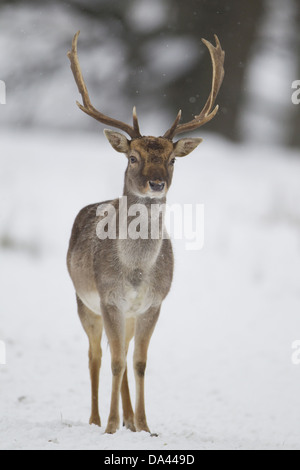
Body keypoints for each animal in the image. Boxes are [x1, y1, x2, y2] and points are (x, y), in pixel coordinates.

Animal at [66, 31, 225, 434]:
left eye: (172, 159)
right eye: (132, 157)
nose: (156, 183)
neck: (136, 272)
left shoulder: (154, 303)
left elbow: (137, 364)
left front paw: (145, 425)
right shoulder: (109, 298)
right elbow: (115, 362)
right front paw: (109, 426)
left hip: (128, 315)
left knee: (120, 356)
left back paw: (130, 422)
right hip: (84, 302)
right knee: (95, 354)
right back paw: (95, 419)